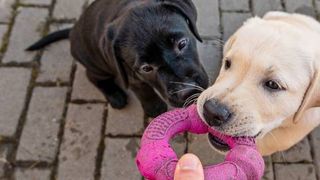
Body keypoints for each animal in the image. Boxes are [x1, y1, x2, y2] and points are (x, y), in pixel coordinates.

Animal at [26, 0, 208, 117]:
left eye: (182, 43)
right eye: (146, 68)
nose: (188, 91)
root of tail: (72, 32)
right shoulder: (132, 77)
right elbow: (145, 92)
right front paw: (154, 109)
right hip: (96, 64)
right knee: (92, 76)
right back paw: (115, 95)